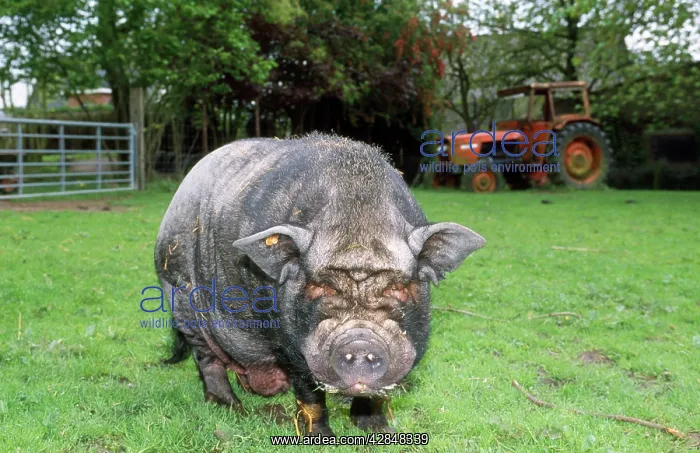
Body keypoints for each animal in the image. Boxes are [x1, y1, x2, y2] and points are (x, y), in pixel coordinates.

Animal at [154, 133, 485, 436]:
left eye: (398, 288)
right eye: (321, 287)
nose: (360, 342)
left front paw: (379, 432)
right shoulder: (289, 342)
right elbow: (309, 394)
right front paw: (322, 438)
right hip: (180, 296)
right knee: (206, 358)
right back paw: (231, 408)